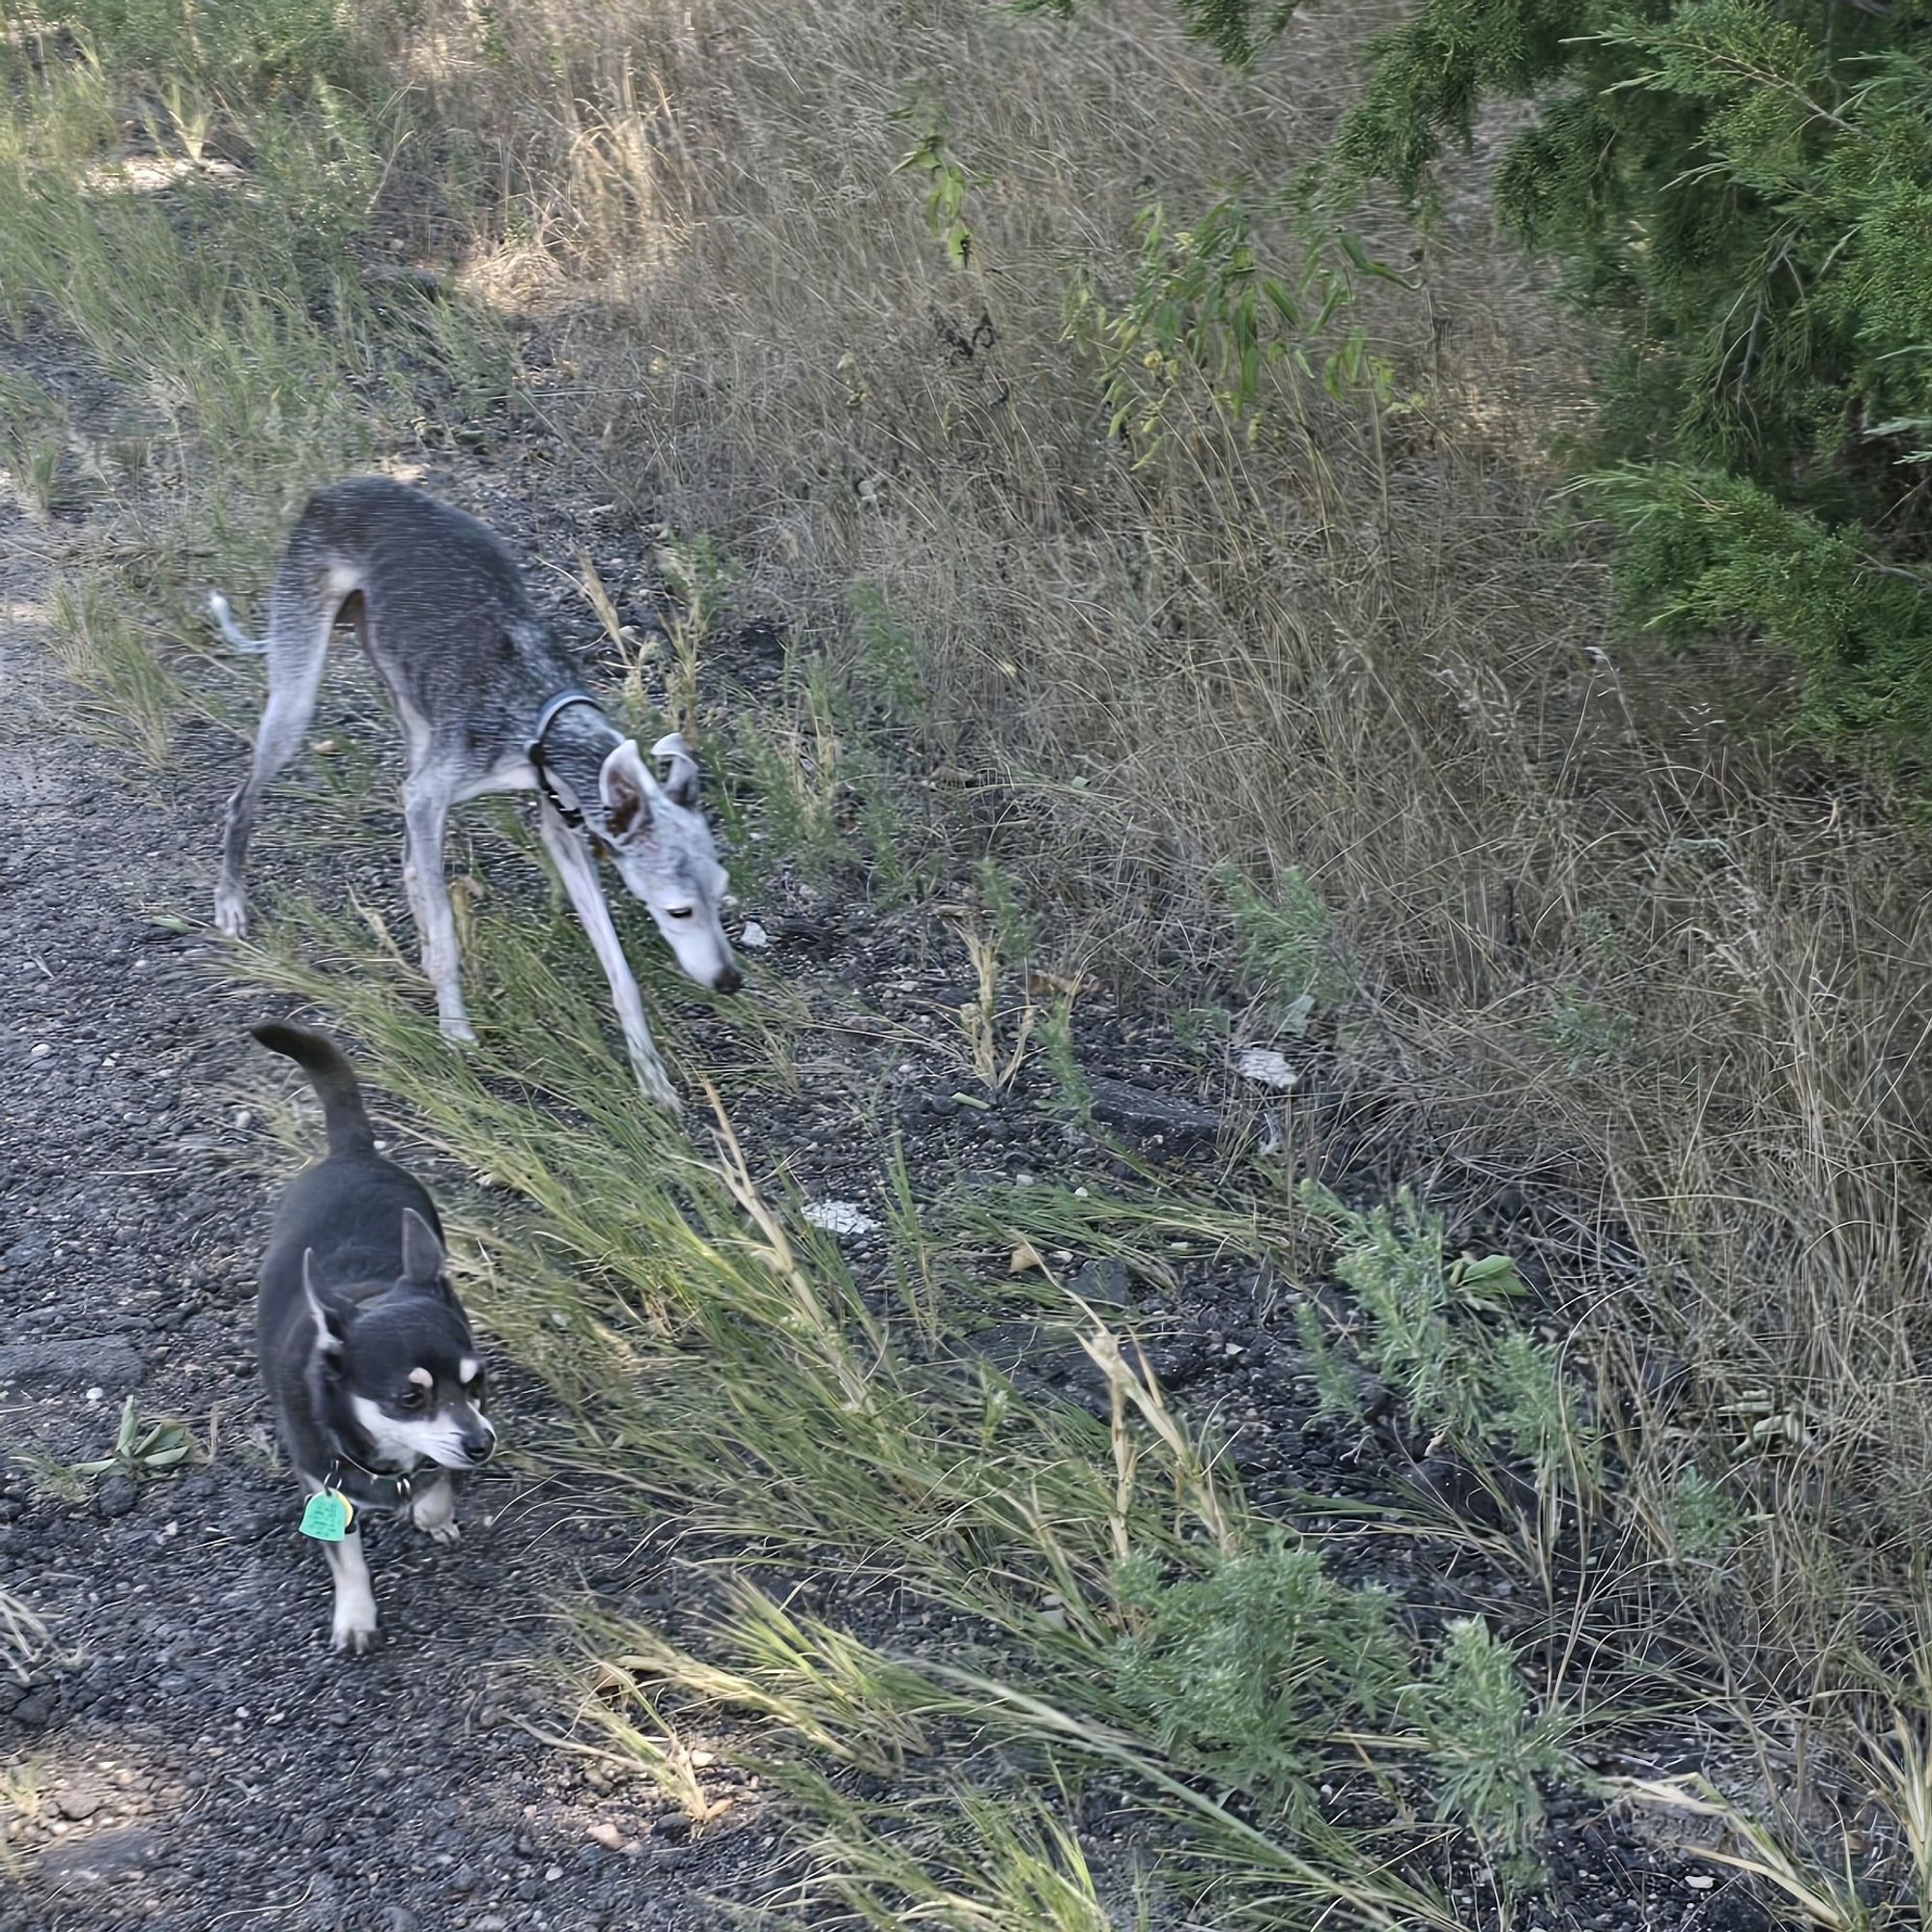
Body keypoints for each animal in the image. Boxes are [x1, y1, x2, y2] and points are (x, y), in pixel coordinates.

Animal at [212, 477, 738, 1113]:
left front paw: (651, 1077)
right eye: (678, 910)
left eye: (721, 893)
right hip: (298, 693)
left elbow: (620, 971)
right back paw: (231, 900)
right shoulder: (435, 792)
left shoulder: (562, 826)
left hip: (408, 702)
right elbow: (447, 934)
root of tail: (338, 488)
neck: (541, 714)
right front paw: (456, 1031)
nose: (730, 982)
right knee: (243, 799)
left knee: (412, 855)